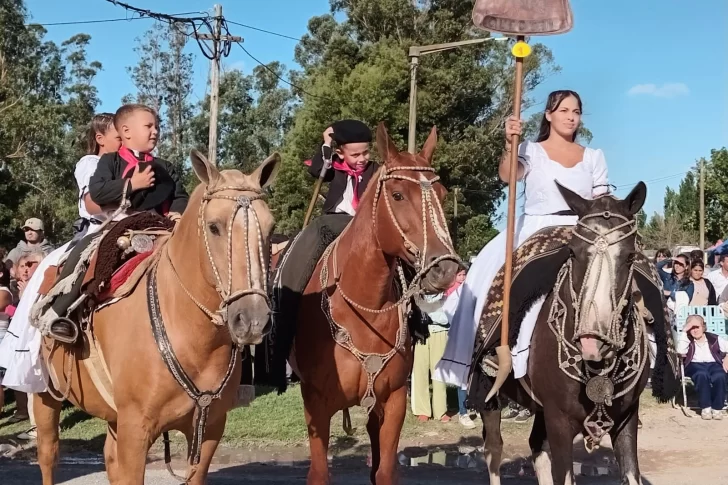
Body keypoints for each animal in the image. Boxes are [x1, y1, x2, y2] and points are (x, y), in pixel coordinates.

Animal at [36, 149, 282, 482]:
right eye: (214, 227)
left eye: (270, 229)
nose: (253, 319)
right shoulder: (135, 432)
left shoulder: (209, 431)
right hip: (43, 395)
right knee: (49, 454)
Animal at [292, 124, 458, 484]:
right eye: (397, 195)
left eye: (441, 194)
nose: (446, 269)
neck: (363, 307)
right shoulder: (315, 403)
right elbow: (319, 473)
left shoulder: (393, 400)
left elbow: (385, 472)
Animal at [484, 182, 676, 484]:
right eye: (572, 252)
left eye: (630, 256)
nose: (591, 342)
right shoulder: (559, 421)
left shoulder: (626, 418)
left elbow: (631, 474)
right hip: (488, 395)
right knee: (494, 449)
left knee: (536, 446)